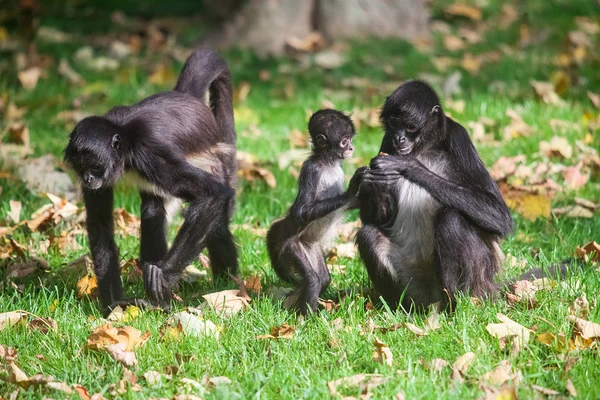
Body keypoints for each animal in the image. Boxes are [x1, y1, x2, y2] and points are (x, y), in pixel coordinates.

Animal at [63, 48, 237, 314]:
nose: (89, 178)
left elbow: (212, 195)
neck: (124, 134)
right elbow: (100, 223)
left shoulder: (150, 154)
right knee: (153, 210)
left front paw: (162, 280)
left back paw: (226, 285)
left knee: (215, 221)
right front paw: (114, 306)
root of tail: (187, 97)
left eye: (95, 166)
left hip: (213, 160)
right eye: (81, 168)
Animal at [268, 109, 366, 316]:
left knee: (323, 278)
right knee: (313, 280)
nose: (351, 148)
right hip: (294, 247)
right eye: (344, 141)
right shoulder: (311, 170)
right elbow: (299, 211)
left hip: (311, 247)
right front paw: (353, 188)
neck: (327, 162)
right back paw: (304, 318)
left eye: (350, 139)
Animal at [356, 81, 516, 310]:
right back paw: (401, 309)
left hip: (479, 282)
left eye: (410, 127)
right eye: (393, 125)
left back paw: (455, 307)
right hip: (414, 285)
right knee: (369, 235)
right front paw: (372, 180)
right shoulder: (387, 142)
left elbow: (500, 217)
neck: (424, 148)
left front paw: (409, 166)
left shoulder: (459, 136)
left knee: (451, 219)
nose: (399, 138)